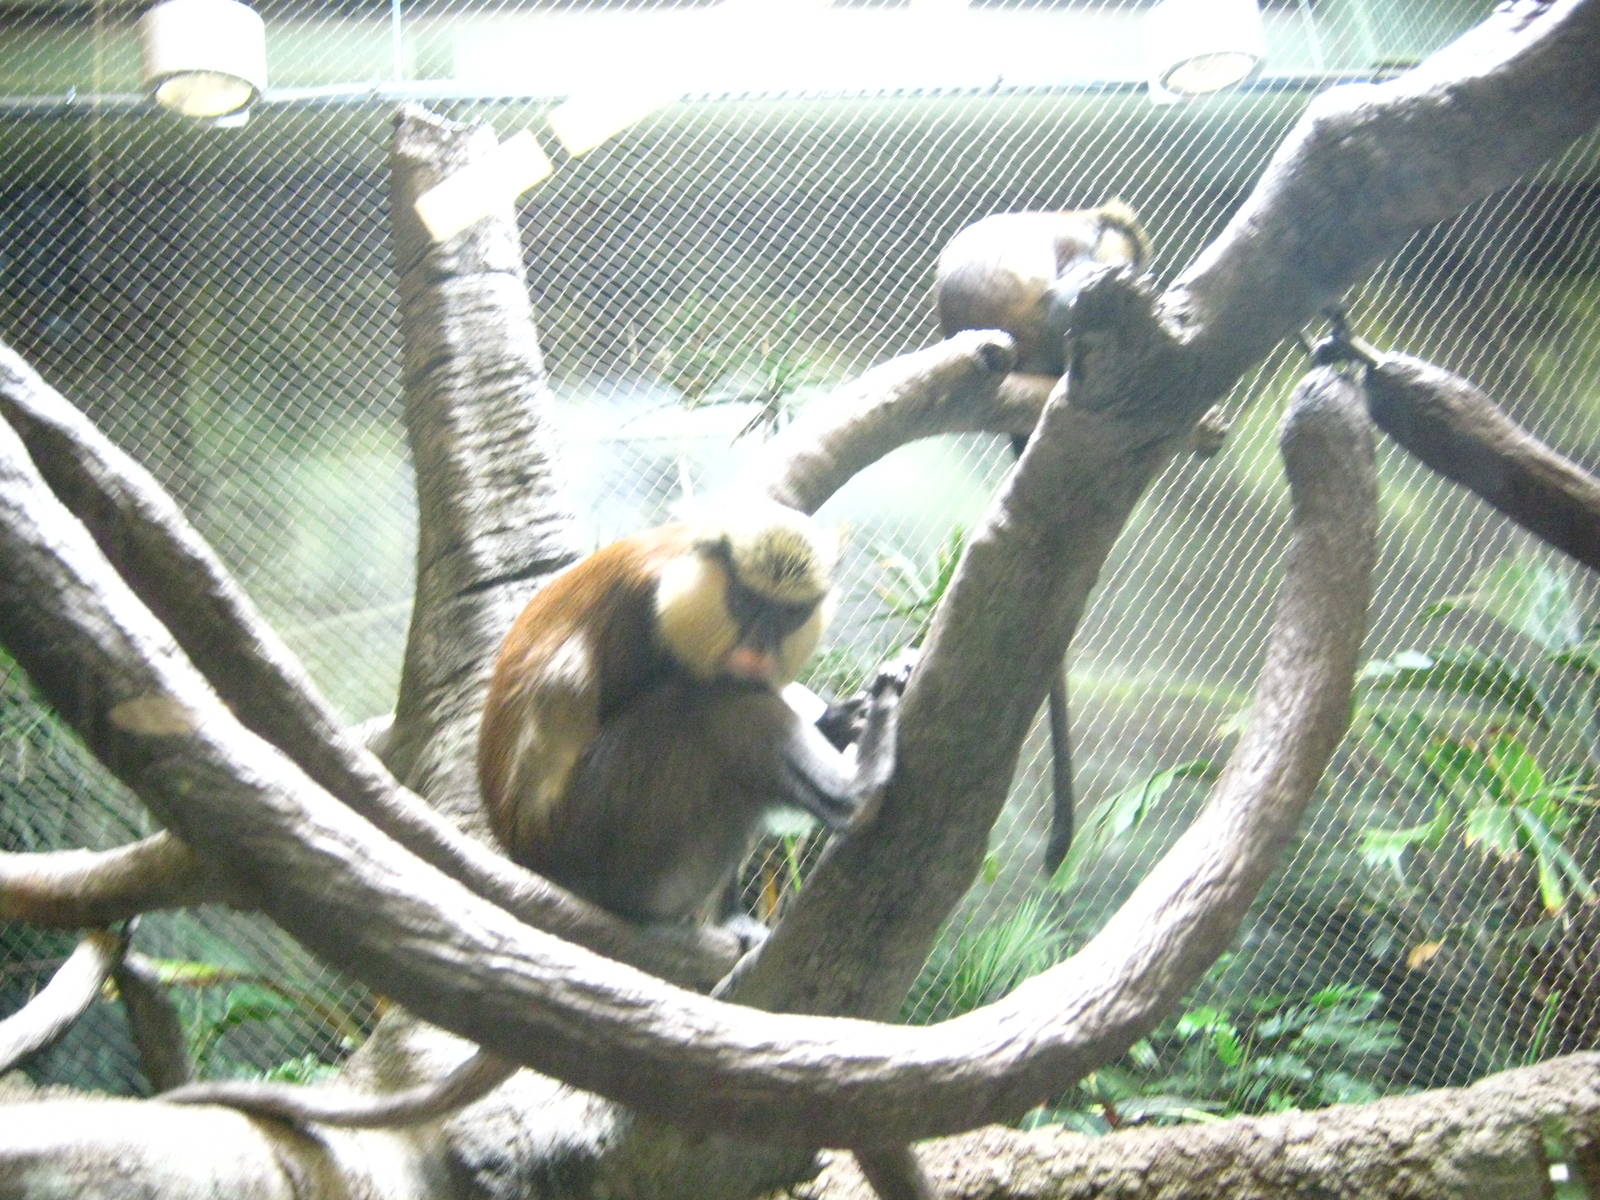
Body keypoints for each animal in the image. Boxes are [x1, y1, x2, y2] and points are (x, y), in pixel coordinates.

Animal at [160, 499, 904, 1128]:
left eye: (786, 615)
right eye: (746, 601)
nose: (755, 649)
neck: (684, 577)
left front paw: (834, 719)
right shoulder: (650, 625)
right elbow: (710, 699)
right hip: (611, 830)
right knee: (716, 712)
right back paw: (859, 787)